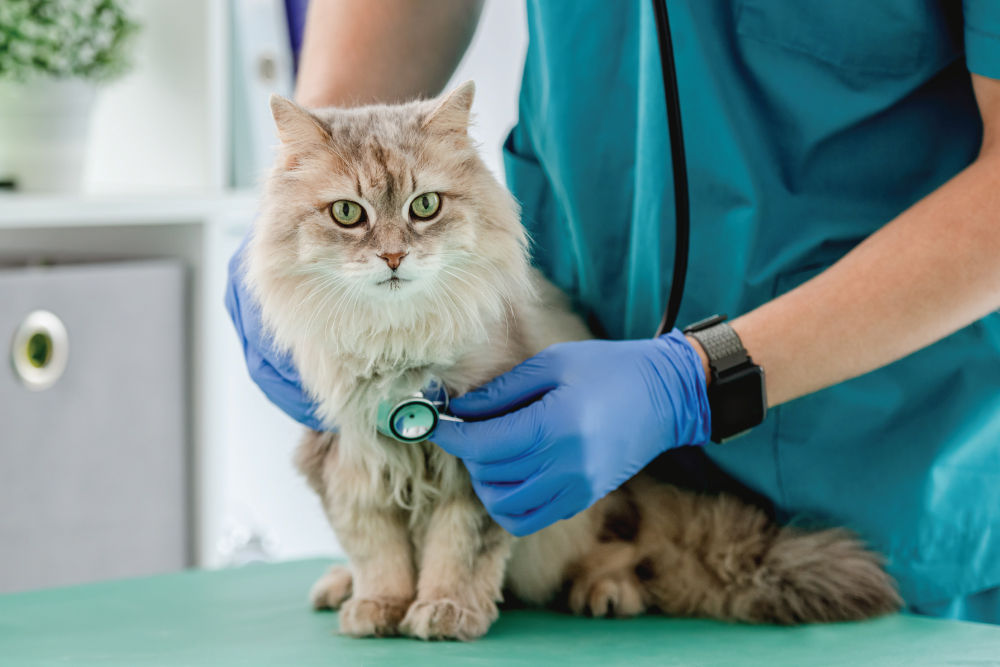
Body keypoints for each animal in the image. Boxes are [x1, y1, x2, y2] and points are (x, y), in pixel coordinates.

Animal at [246, 83, 904, 640]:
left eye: (425, 206)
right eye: (348, 214)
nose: (392, 257)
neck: (397, 345)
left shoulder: (479, 469)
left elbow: (458, 551)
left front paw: (445, 610)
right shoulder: (346, 463)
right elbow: (377, 553)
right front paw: (378, 607)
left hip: (589, 508)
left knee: (629, 553)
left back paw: (604, 591)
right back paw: (339, 586)